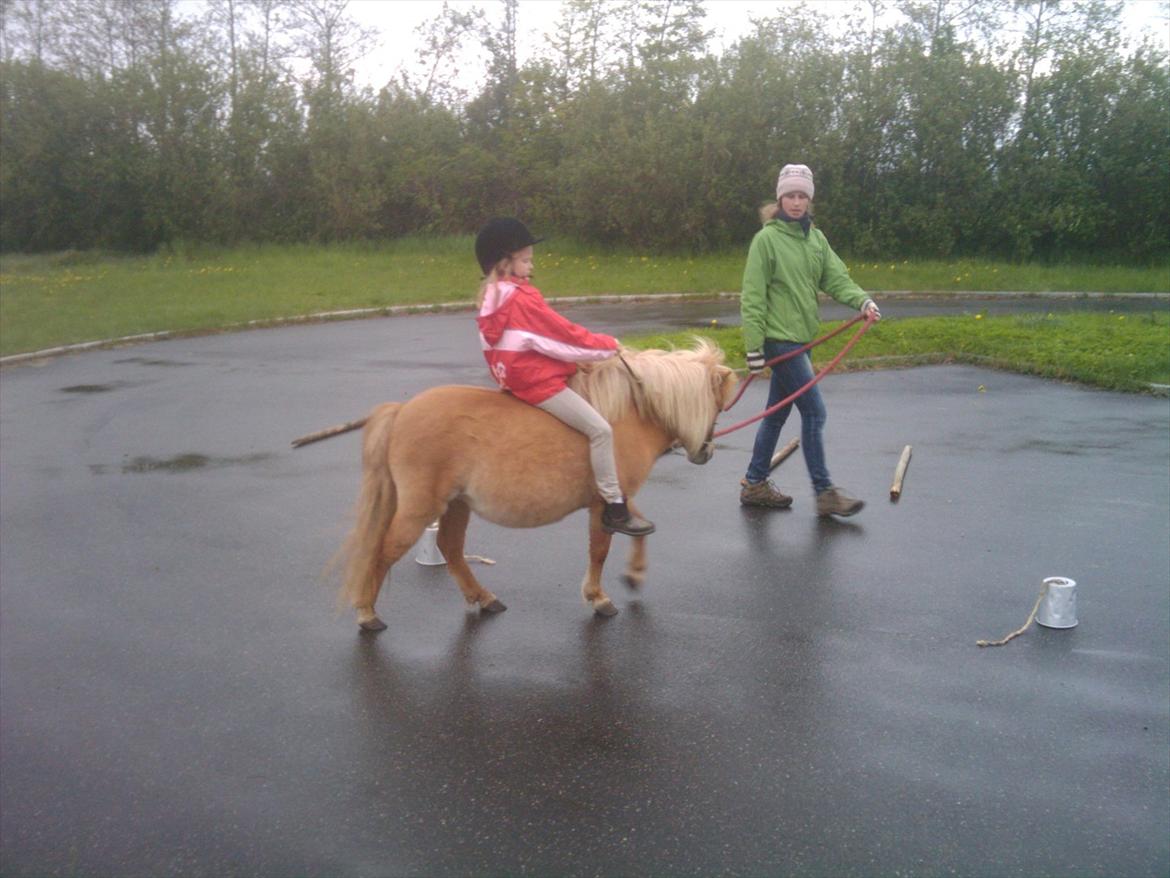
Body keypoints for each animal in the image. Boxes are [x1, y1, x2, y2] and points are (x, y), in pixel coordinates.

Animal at [334, 339, 734, 632]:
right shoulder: (604, 502)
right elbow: (600, 551)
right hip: (421, 507)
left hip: (457, 503)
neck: (627, 415)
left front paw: (634, 575)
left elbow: (638, 529)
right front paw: (599, 598)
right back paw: (367, 614)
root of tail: (402, 410)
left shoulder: (614, 497)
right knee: (386, 550)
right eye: (718, 406)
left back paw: (484, 598)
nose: (706, 452)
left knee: (451, 548)